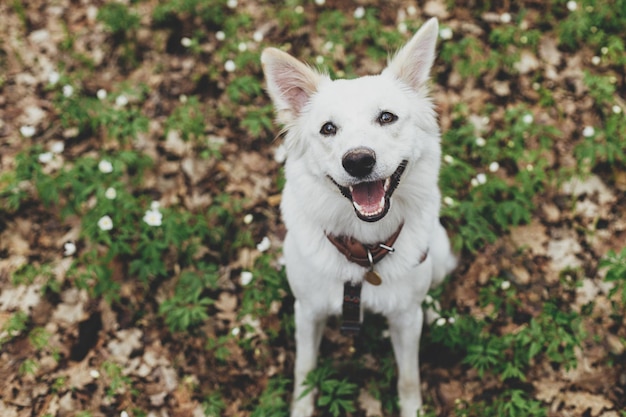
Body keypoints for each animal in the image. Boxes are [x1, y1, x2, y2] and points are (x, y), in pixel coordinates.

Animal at [258, 17, 454, 416]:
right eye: (328, 128)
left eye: (387, 117)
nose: (358, 160)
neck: (363, 251)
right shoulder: (308, 312)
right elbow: (305, 372)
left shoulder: (405, 320)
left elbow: (409, 378)